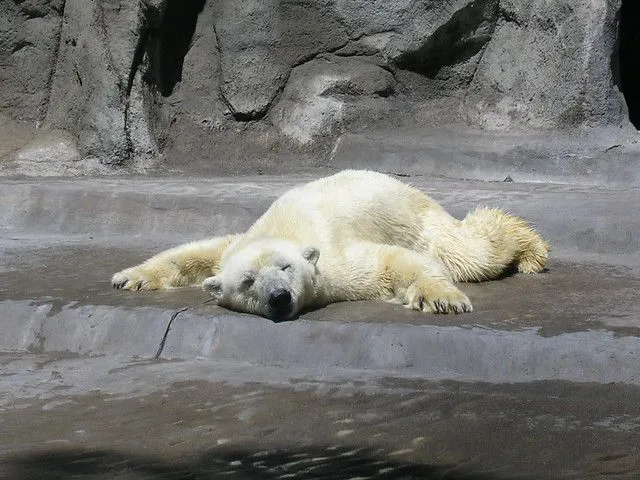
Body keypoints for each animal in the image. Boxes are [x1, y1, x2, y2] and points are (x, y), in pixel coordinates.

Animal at [112, 171, 548, 320]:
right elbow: (201, 252)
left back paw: (531, 252)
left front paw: (441, 298)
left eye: (286, 267)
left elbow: (389, 261)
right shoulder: (236, 246)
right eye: (248, 281)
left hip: (420, 221)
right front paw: (129, 277)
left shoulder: (333, 263)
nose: (279, 297)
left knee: (471, 252)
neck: (282, 232)